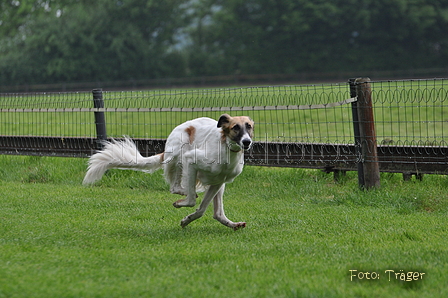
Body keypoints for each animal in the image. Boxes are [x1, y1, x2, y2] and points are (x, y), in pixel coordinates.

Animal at [82, 114, 254, 230]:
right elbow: (191, 201)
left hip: (217, 183)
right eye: (235, 127)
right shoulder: (191, 160)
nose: (247, 142)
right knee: (174, 187)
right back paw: (183, 192)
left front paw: (187, 219)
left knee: (217, 213)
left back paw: (233, 224)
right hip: (180, 152)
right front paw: (182, 205)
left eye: (249, 126)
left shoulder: (218, 182)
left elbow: (201, 209)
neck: (226, 149)